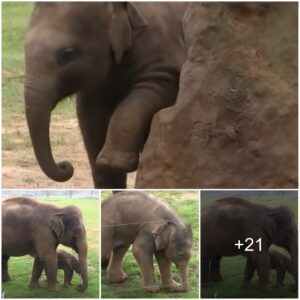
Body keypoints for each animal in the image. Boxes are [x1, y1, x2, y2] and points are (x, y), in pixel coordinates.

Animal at [24, 2, 188, 188]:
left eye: (68, 54)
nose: (66, 166)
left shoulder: (164, 56)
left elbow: (147, 94)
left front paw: (112, 161)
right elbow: (89, 117)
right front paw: (104, 166)